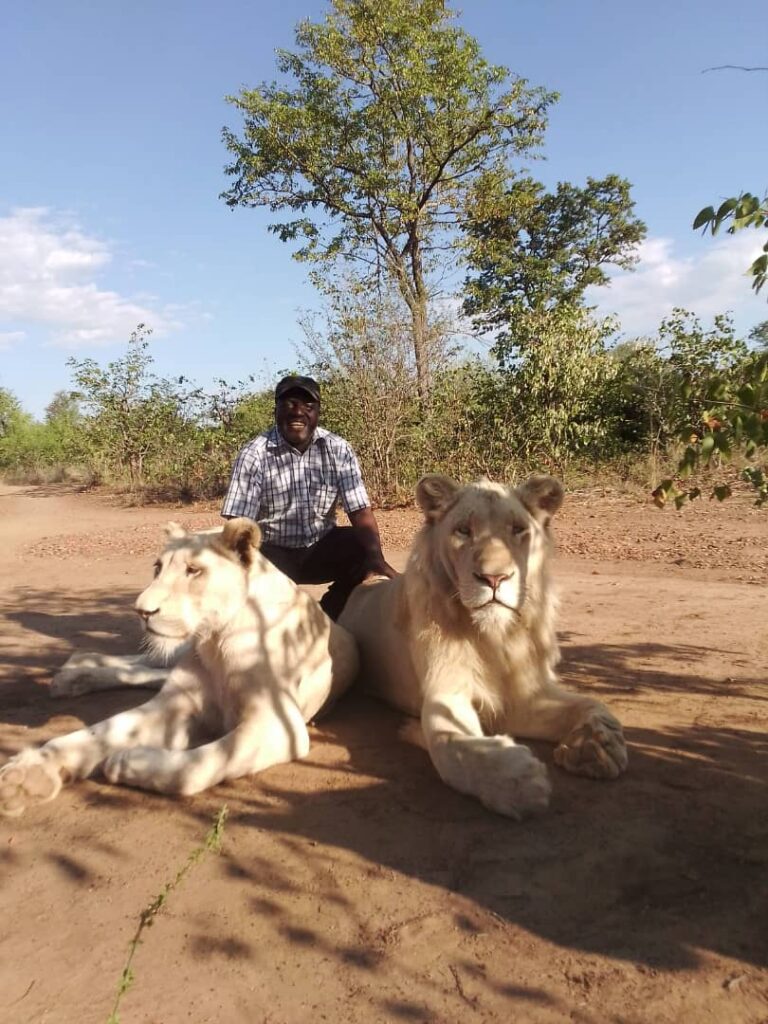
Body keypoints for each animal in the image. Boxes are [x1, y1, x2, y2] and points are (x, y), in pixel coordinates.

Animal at [0, 518, 358, 816]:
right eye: (157, 567)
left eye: (193, 570)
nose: (142, 611)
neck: (215, 643)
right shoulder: (175, 702)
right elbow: (96, 734)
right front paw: (25, 775)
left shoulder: (279, 726)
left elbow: (199, 764)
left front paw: (128, 762)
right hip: (174, 655)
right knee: (143, 664)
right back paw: (74, 672)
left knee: (146, 673)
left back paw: (73, 675)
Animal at [338, 474, 628, 819]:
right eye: (464, 530)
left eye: (518, 529)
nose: (494, 578)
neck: (495, 637)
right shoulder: (446, 693)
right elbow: (454, 746)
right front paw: (515, 779)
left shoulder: (522, 694)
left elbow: (591, 704)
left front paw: (597, 746)